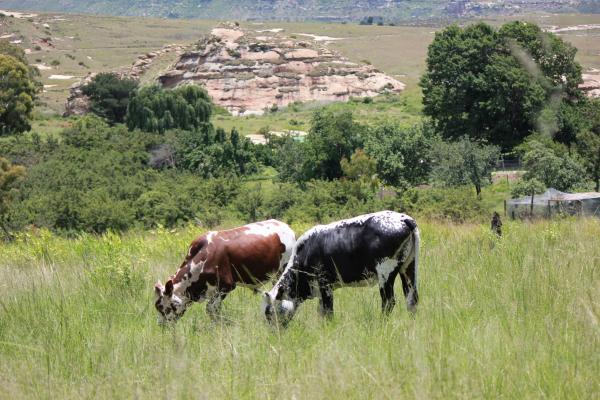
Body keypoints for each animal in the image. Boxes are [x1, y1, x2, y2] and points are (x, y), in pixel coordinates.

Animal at [155, 220, 296, 324]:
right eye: (157, 306)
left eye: (166, 307)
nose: (161, 325)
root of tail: (286, 227)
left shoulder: (226, 285)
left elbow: (211, 309)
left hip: (282, 270)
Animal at [262, 211, 422, 324]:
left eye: (269, 313)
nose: (274, 335)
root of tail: (403, 218)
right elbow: (321, 311)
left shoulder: (325, 284)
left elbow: (328, 311)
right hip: (409, 266)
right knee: (411, 299)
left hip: (385, 272)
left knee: (388, 301)